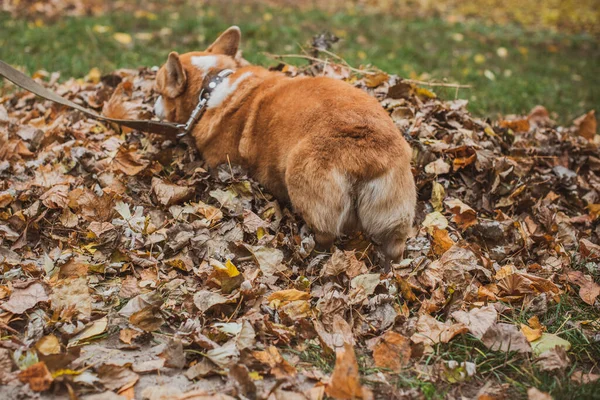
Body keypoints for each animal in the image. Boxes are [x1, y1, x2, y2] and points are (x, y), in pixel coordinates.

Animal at [155, 26, 414, 260]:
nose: (153, 107)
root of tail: (368, 157)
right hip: (394, 213)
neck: (212, 84)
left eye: (159, 91)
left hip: (302, 180)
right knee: (394, 246)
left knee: (326, 235)